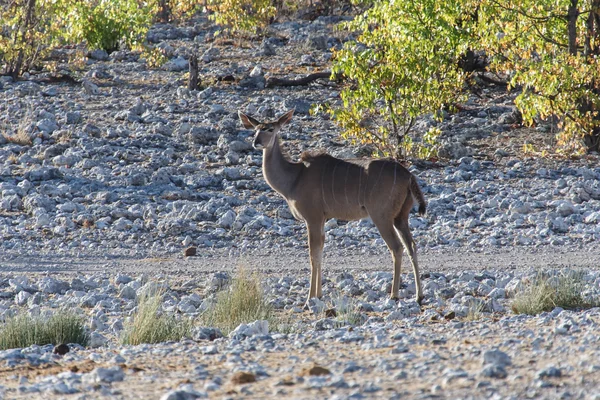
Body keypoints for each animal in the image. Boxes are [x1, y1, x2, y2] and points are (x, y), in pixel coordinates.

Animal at [239, 108, 426, 304]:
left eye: (270, 129)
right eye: (255, 129)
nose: (256, 142)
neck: (295, 177)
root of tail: (408, 175)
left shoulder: (312, 217)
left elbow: (313, 254)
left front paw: (309, 298)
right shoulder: (322, 218)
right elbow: (320, 250)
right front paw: (319, 295)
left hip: (381, 216)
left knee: (396, 247)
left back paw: (394, 294)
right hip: (400, 217)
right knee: (411, 245)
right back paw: (419, 296)